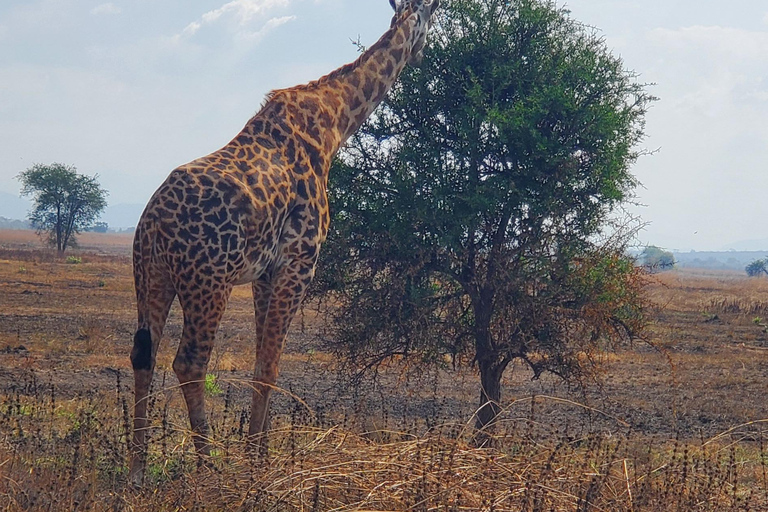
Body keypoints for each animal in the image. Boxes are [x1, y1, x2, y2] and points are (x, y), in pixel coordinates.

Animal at [129, 0, 440, 484]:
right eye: (434, 18)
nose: (423, 54)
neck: (335, 123)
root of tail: (153, 223)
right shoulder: (300, 261)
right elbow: (271, 366)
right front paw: (258, 465)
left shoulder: (265, 271)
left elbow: (261, 363)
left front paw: (256, 454)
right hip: (208, 282)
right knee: (189, 362)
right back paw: (207, 467)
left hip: (151, 276)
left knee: (143, 356)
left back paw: (138, 470)